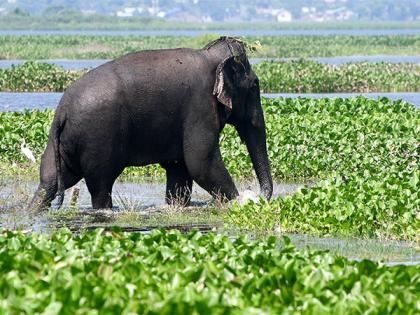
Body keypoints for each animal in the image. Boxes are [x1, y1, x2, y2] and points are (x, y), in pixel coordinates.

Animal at [28, 36, 272, 210]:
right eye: (255, 86)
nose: (260, 196)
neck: (210, 55)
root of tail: (62, 112)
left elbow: (179, 167)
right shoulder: (200, 106)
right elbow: (201, 161)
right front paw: (241, 203)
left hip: (61, 142)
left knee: (50, 181)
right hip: (97, 136)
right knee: (101, 184)